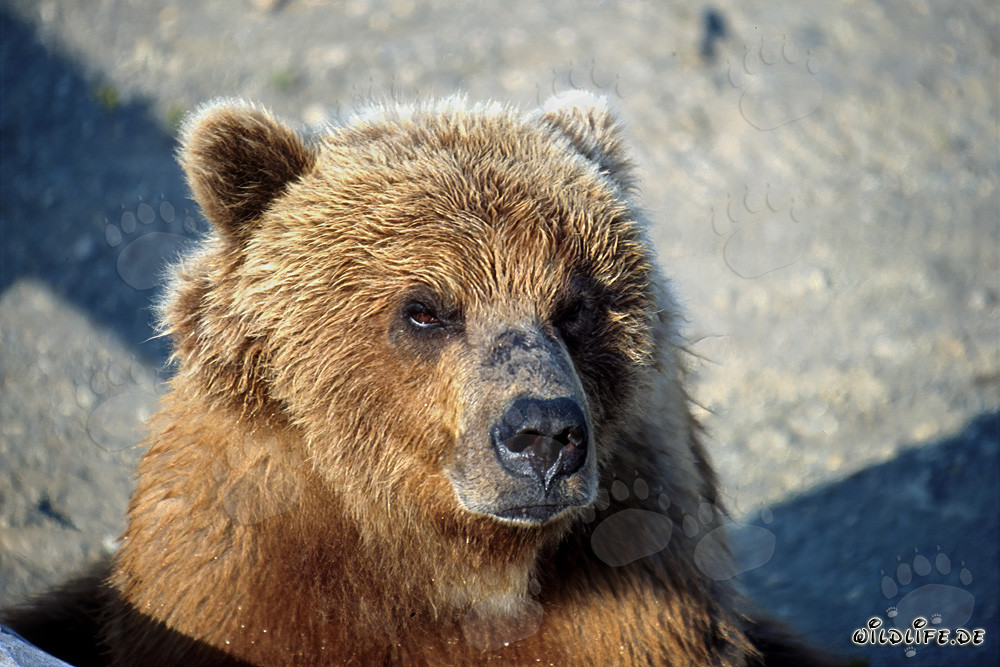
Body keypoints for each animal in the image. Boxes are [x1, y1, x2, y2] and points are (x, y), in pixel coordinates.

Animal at [3, 92, 837, 666]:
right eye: (426, 309)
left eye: (577, 304)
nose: (543, 435)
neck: (448, 564)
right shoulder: (241, 583)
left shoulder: (630, 605)